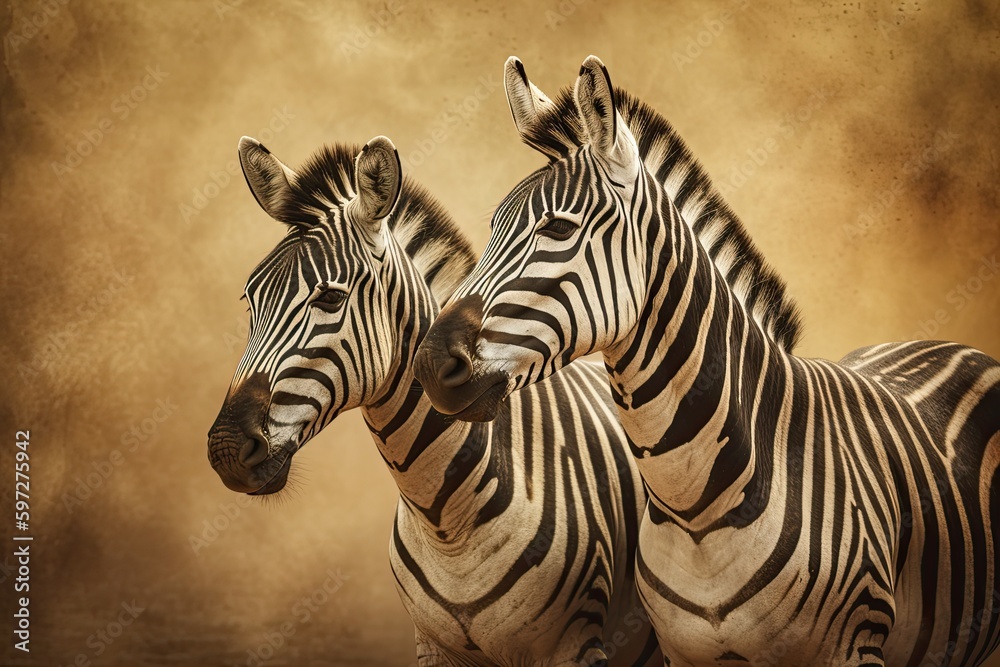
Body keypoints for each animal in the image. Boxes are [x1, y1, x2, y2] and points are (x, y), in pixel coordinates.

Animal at [206, 134, 663, 666]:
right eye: (250, 301)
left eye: (330, 299)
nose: (225, 450)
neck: (444, 519)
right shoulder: (432, 645)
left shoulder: (571, 646)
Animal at [413, 56, 1000, 666]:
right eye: (492, 228)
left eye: (557, 228)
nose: (429, 362)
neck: (697, 509)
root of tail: (941, 344)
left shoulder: (853, 645)